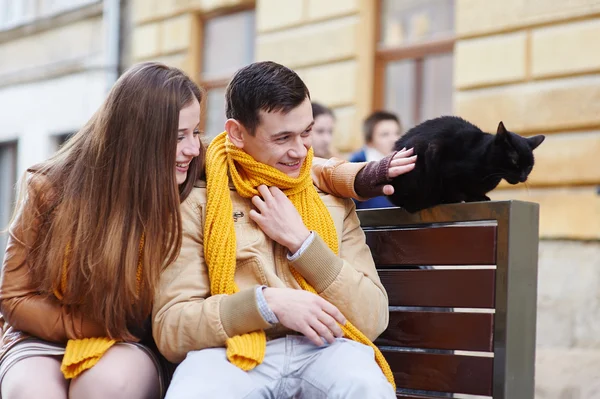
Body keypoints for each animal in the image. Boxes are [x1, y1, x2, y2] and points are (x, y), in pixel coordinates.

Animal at [386, 116, 548, 212]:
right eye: (514, 160)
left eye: (529, 167)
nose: (523, 177)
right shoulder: (438, 153)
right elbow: (454, 189)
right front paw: (465, 198)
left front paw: (480, 196)